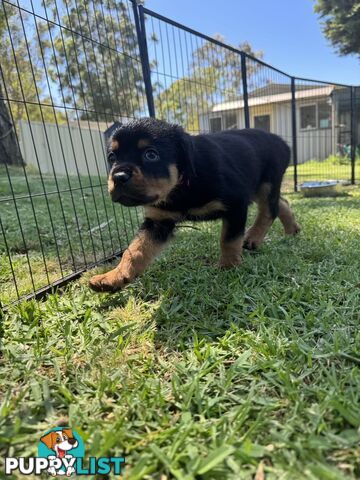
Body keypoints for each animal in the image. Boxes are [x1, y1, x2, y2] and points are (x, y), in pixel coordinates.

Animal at [88, 119, 300, 292]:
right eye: (112, 157)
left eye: (151, 155)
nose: (118, 176)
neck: (181, 186)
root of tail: (282, 142)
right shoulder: (158, 220)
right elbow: (135, 250)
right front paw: (113, 276)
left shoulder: (236, 203)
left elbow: (229, 240)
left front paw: (228, 267)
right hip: (256, 187)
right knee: (281, 202)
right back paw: (292, 229)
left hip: (267, 183)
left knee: (269, 209)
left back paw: (254, 238)